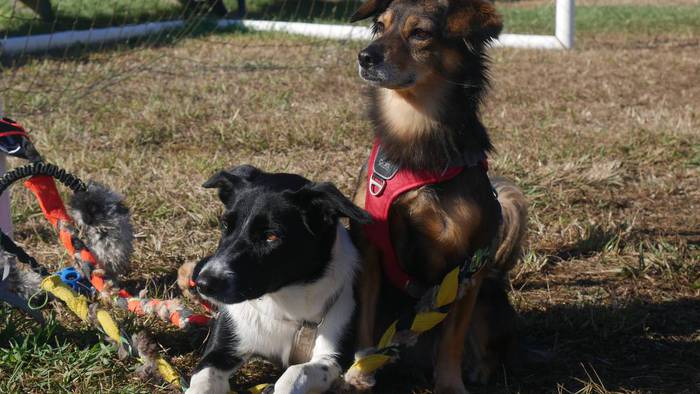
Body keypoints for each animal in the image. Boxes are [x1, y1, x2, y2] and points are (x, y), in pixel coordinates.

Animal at [189, 165, 370, 392]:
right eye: (225, 226)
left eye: (271, 237)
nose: (204, 284)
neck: (282, 301)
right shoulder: (220, 351)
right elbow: (202, 380)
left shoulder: (332, 357)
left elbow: (294, 373)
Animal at [348, 1, 528, 392]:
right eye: (379, 26)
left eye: (420, 33)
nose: (365, 56)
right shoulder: (369, 252)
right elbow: (363, 324)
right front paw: (359, 374)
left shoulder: (467, 266)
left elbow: (452, 340)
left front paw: (449, 384)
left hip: (491, 301)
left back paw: (478, 370)